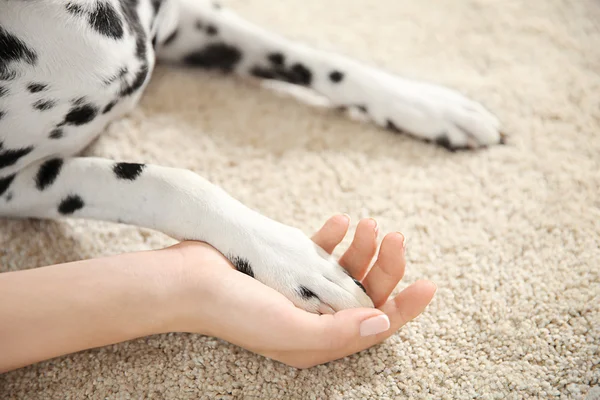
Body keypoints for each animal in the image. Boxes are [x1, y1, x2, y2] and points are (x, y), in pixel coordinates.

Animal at [0, 0, 502, 312]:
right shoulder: (10, 183)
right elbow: (169, 182)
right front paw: (297, 259)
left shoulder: (187, 18)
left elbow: (310, 55)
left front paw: (426, 103)